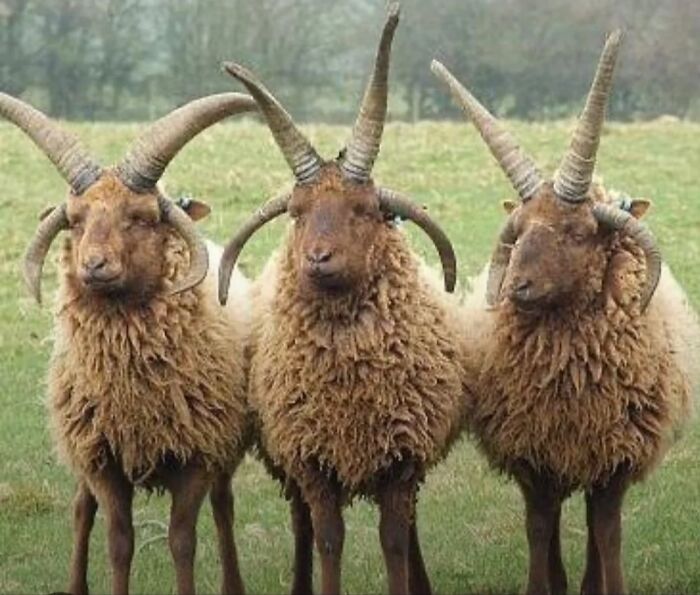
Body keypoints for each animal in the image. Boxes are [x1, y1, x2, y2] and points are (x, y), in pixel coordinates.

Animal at [0, 91, 256, 595]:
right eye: (76, 221)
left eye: (141, 218)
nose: (93, 265)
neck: (133, 390)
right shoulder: (102, 460)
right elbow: (119, 540)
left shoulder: (198, 454)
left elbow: (182, 540)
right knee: (81, 510)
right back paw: (75, 584)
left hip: (224, 444)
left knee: (223, 506)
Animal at [217, 4, 469, 594]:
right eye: (297, 212)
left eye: (365, 209)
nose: (318, 258)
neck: (349, 383)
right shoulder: (313, 460)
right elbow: (328, 539)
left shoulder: (401, 458)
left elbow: (394, 541)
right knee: (302, 525)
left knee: (410, 527)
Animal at [433, 31, 700, 595]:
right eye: (519, 231)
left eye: (579, 233)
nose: (517, 288)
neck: (572, 377)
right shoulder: (533, 452)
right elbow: (539, 526)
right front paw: (541, 586)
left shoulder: (616, 456)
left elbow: (608, 531)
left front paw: (609, 586)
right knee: (555, 522)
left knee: (592, 529)